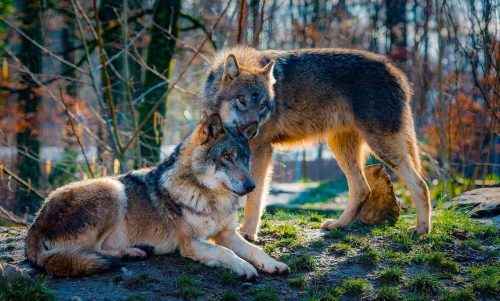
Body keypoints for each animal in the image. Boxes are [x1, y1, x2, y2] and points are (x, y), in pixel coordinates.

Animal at [25, 114, 290, 276]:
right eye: (226, 157)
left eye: (244, 158)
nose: (251, 186)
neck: (211, 198)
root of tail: (35, 223)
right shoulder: (190, 243)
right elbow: (224, 252)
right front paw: (244, 268)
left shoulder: (226, 234)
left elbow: (254, 249)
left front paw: (273, 264)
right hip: (113, 189)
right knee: (93, 250)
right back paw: (130, 253)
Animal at [201, 47, 432, 239]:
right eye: (242, 100)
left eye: (263, 105)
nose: (252, 130)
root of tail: (397, 72)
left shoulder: (261, 150)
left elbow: (254, 197)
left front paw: (247, 234)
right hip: (341, 148)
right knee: (362, 189)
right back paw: (339, 225)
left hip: (383, 147)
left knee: (421, 185)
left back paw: (422, 229)